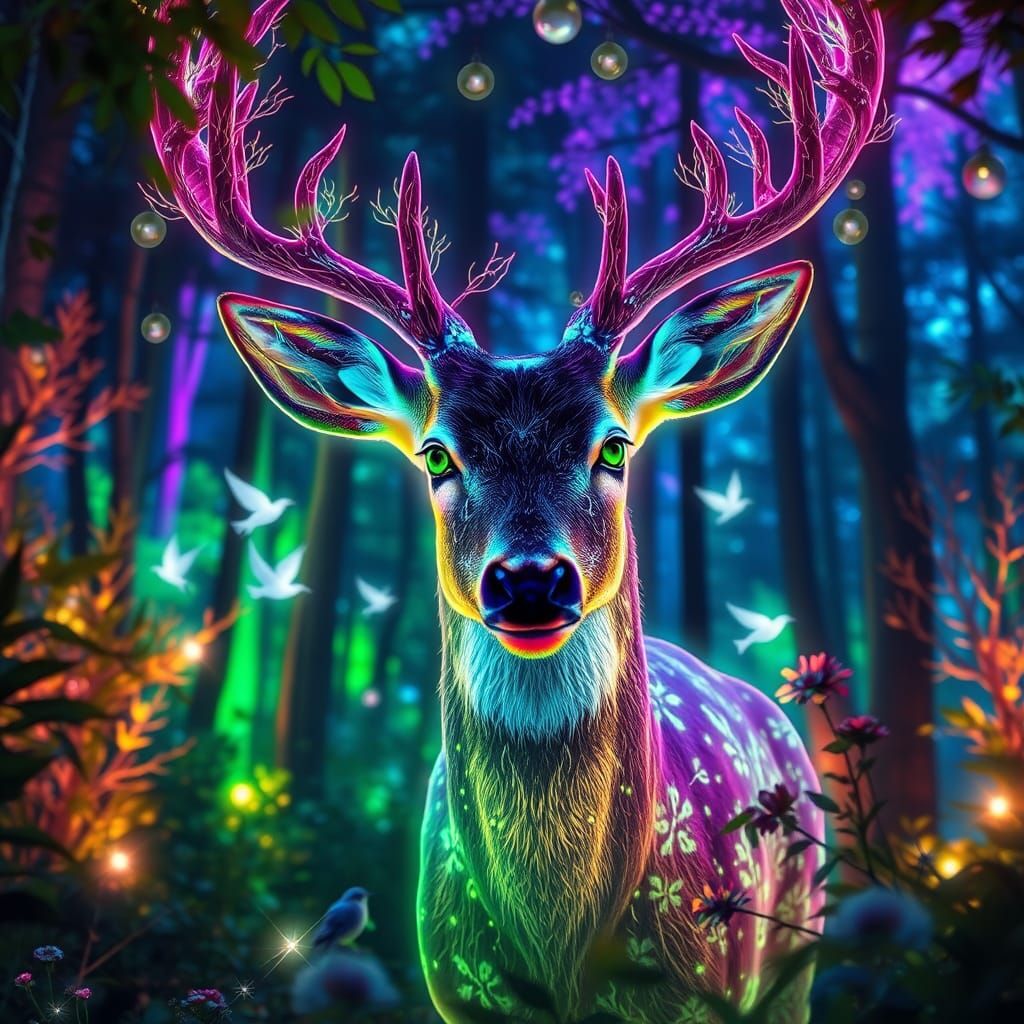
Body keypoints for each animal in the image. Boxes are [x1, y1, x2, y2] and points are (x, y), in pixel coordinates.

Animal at [150, 0, 885, 1019]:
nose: (530, 580)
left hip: (794, 954)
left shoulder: (711, 988)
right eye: (435, 455)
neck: (565, 953)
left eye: (614, 445)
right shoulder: (455, 989)